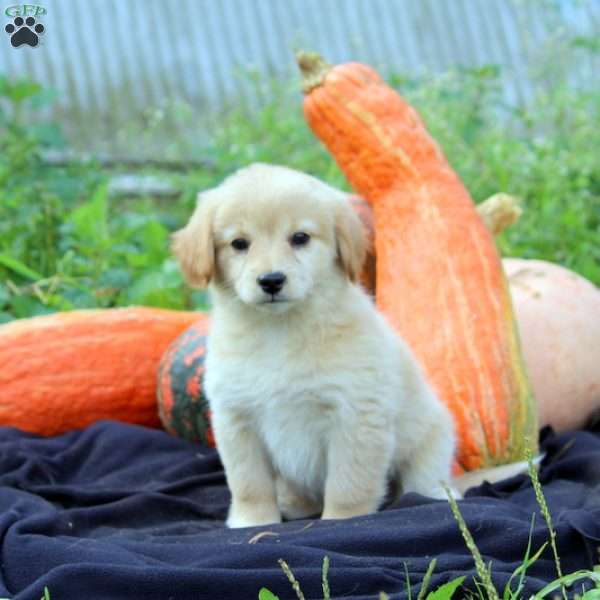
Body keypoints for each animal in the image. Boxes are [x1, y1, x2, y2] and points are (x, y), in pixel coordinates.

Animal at [171, 162, 458, 528]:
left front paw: (341, 522)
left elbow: (348, 484)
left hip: (431, 441)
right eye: (239, 243)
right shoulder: (236, 419)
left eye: (300, 238)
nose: (271, 281)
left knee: (428, 480)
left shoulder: (355, 416)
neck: (278, 331)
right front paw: (253, 522)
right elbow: (249, 483)